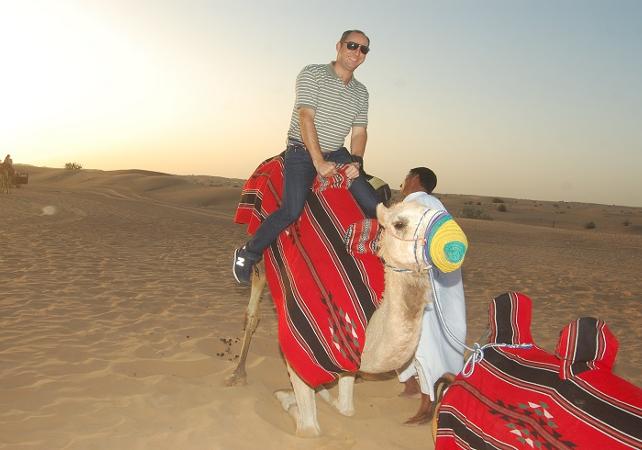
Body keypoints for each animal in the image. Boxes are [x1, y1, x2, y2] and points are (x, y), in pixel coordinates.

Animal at [225, 202, 436, 438]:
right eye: (399, 224)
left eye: (439, 214)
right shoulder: (299, 351)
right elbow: (309, 429)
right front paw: (287, 396)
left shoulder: (349, 358)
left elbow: (346, 410)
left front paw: (319, 394)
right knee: (254, 301)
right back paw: (238, 374)